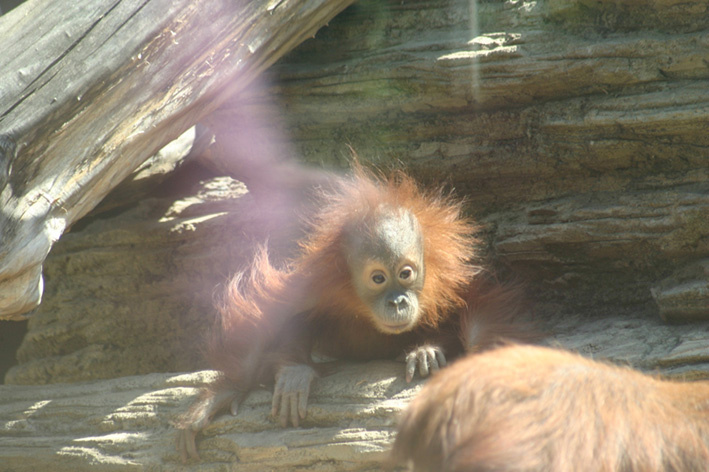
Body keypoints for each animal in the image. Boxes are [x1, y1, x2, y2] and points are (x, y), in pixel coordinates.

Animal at [174, 165, 530, 462]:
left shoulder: (451, 276)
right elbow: (269, 316)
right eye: (378, 278)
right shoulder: (316, 283)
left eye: (406, 274)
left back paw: (426, 352)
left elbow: (479, 303)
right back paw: (295, 371)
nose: (397, 302)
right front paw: (221, 395)